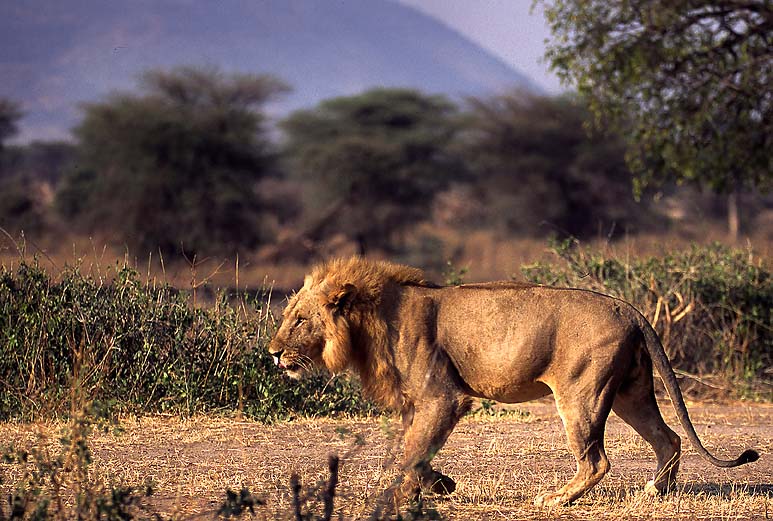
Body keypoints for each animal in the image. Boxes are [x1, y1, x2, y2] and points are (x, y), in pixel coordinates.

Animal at [268, 258, 756, 506]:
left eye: (299, 320)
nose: (272, 352)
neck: (371, 321)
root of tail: (630, 308)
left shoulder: (442, 397)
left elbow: (411, 454)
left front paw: (411, 495)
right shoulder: (415, 404)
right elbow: (414, 452)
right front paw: (435, 487)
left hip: (581, 394)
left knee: (597, 461)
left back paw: (556, 500)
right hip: (629, 393)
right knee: (668, 437)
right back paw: (656, 490)